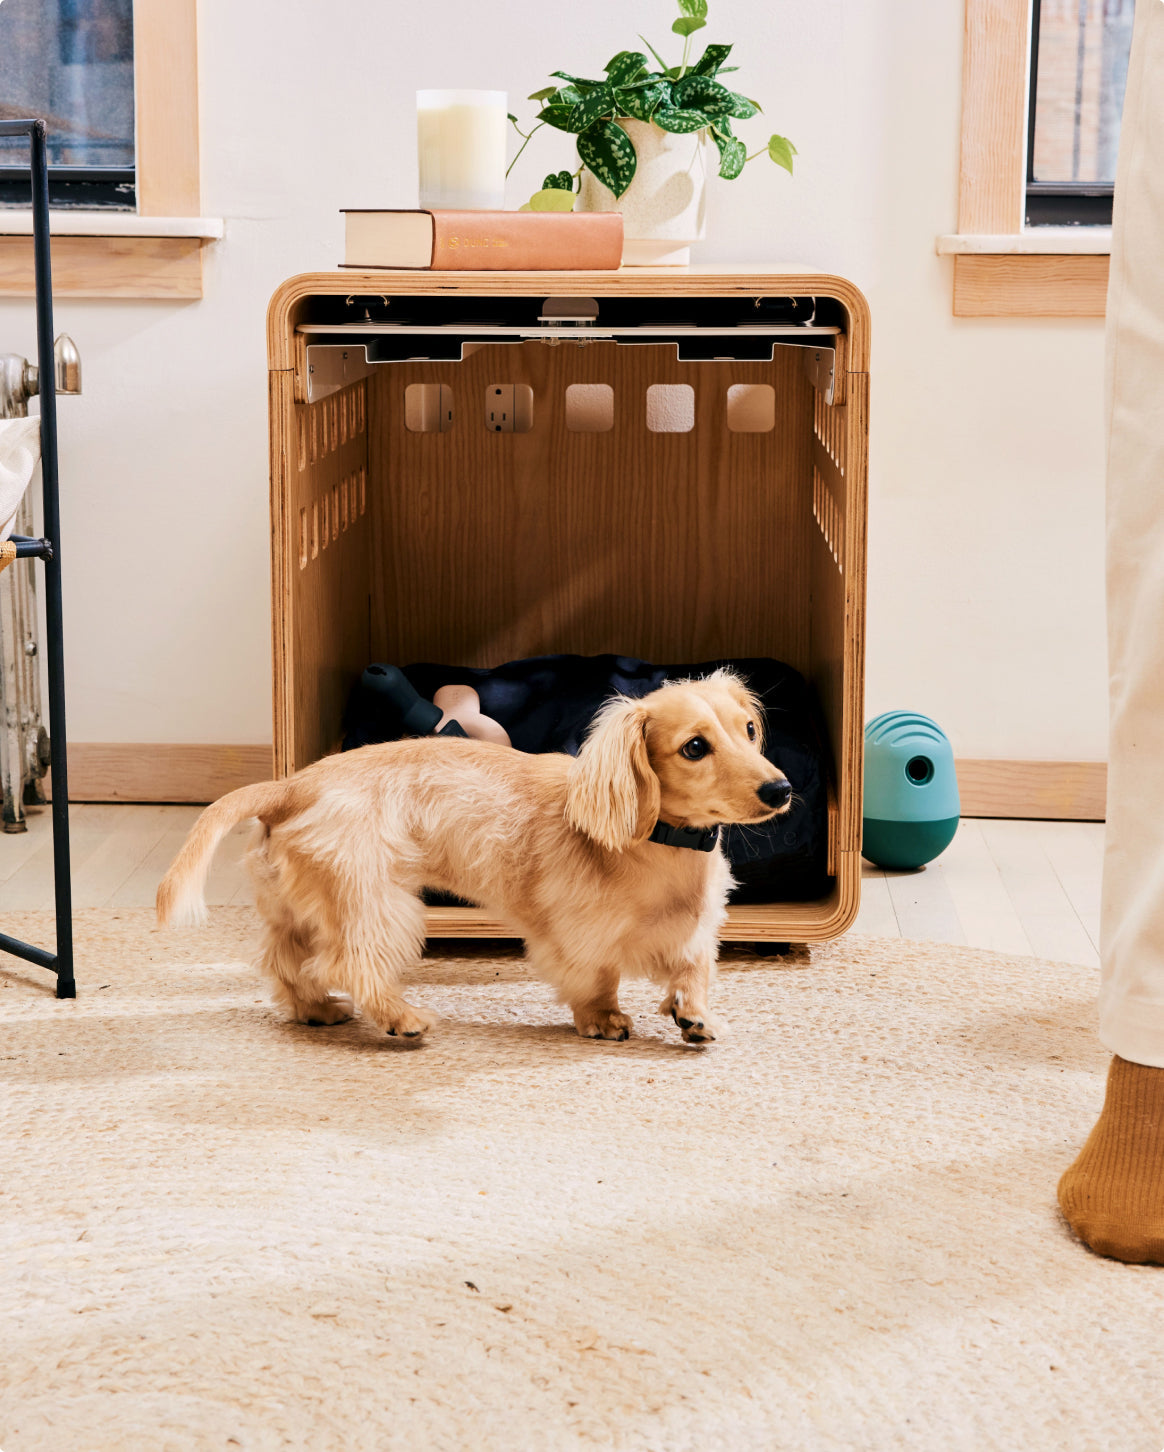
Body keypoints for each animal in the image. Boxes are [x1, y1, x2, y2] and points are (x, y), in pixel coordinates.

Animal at [156, 670, 792, 1044]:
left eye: (749, 728)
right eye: (694, 747)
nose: (781, 790)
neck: (661, 847)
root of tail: (292, 786)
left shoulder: (696, 932)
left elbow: (693, 970)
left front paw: (696, 1014)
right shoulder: (579, 936)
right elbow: (596, 979)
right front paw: (603, 1019)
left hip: (302, 905)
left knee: (288, 962)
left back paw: (315, 1010)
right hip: (375, 903)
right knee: (348, 962)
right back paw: (400, 1018)